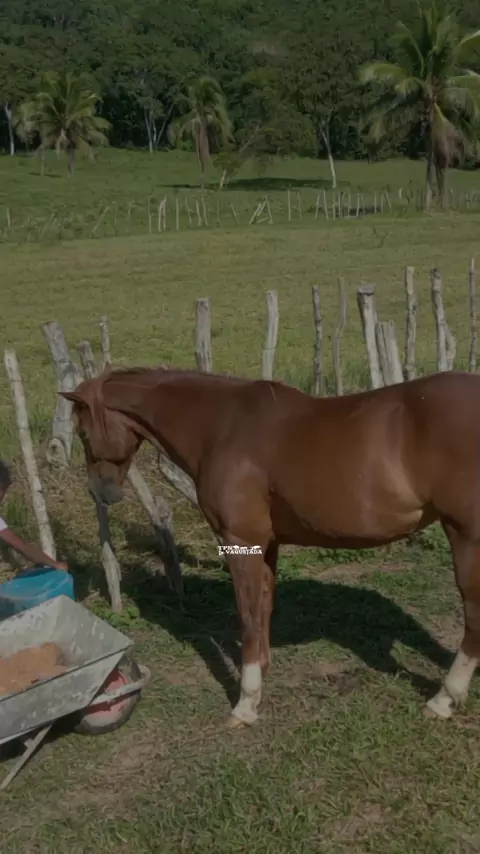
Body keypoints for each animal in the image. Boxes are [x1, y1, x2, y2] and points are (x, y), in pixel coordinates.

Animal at [62, 366, 480, 728]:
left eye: (82, 434)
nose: (99, 493)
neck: (222, 427)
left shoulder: (240, 542)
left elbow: (247, 615)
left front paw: (245, 703)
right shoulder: (267, 545)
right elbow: (263, 608)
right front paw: (260, 677)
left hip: (466, 537)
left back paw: (444, 699)